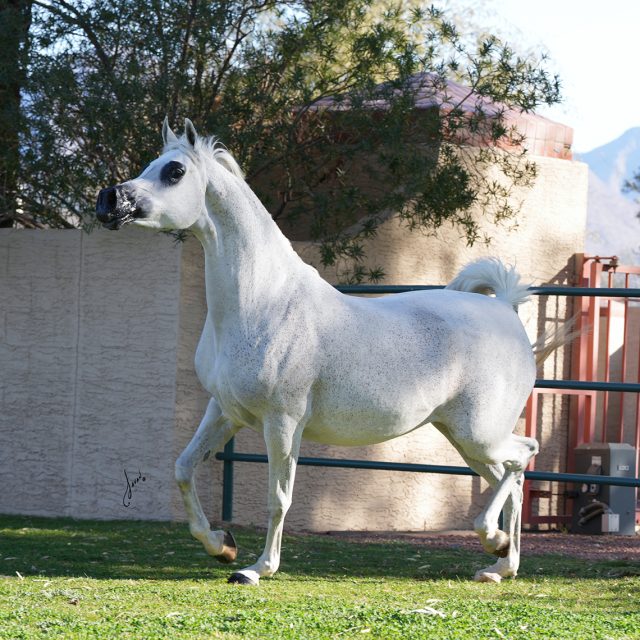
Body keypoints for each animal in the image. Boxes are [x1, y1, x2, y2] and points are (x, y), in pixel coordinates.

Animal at [96, 118, 547, 586]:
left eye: (175, 171)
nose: (107, 200)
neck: (263, 301)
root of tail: (504, 308)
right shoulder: (224, 411)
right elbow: (184, 469)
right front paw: (221, 546)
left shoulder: (282, 422)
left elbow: (278, 497)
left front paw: (256, 569)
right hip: (464, 437)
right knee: (511, 478)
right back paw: (500, 563)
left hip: (480, 432)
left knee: (523, 456)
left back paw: (492, 539)